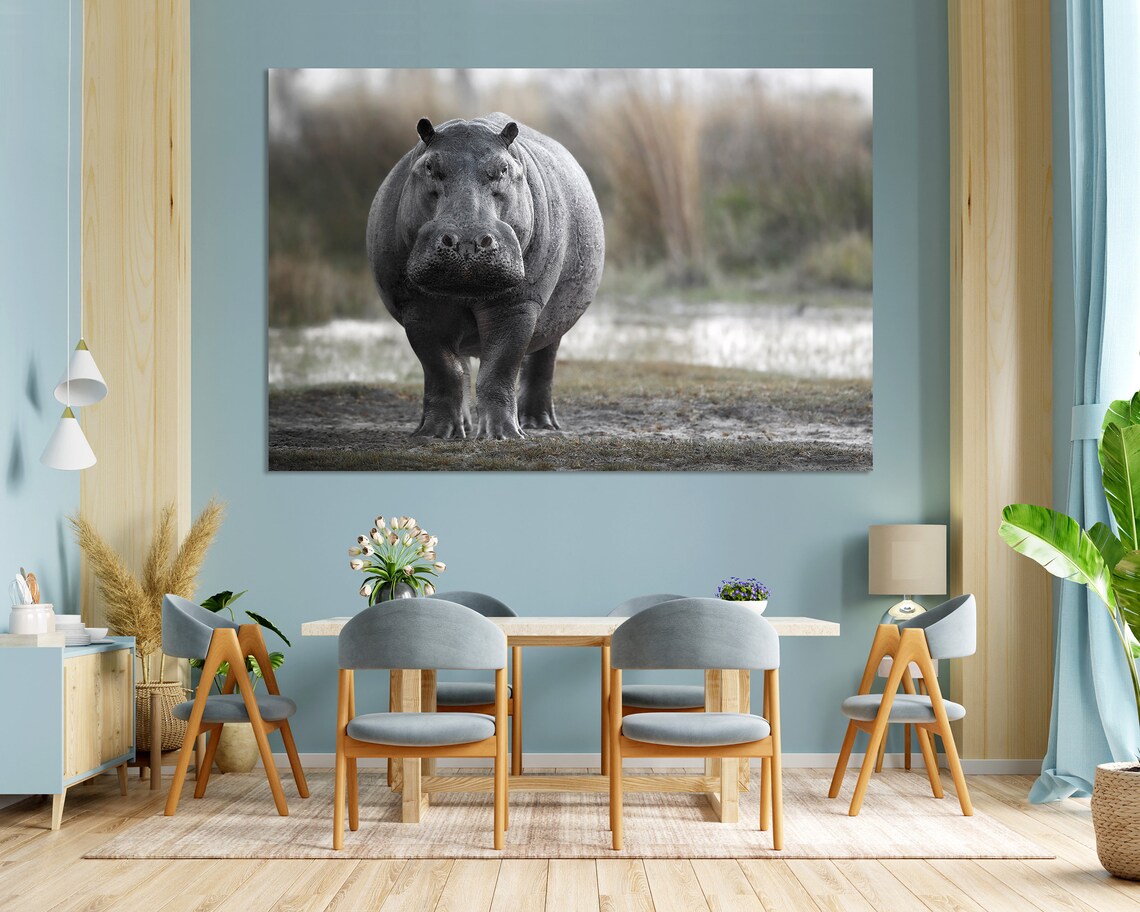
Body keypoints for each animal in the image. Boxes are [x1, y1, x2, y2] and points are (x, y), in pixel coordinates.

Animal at [366, 114, 604, 439]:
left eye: (503, 169)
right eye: (429, 167)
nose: (467, 241)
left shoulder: (518, 304)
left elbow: (500, 368)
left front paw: (504, 435)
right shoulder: (416, 307)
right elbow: (442, 370)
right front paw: (434, 434)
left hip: (555, 319)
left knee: (544, 360)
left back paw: (538, 423)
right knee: (462, 365)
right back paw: (462, 428)